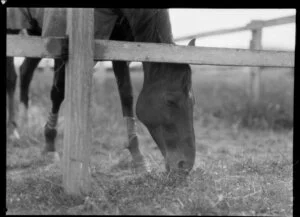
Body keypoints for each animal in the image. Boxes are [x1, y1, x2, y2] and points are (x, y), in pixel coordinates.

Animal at [6, 8, 197, 173]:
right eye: (170, 101)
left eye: (192, 101)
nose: (184, 165)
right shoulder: (61, 42)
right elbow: (58, 92)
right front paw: (50, 146)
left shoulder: (121, 47)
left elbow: (126, 96)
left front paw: (138, 157)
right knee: (12, 77)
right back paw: (13, 130)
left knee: (25, 71)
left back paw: (25, 122)